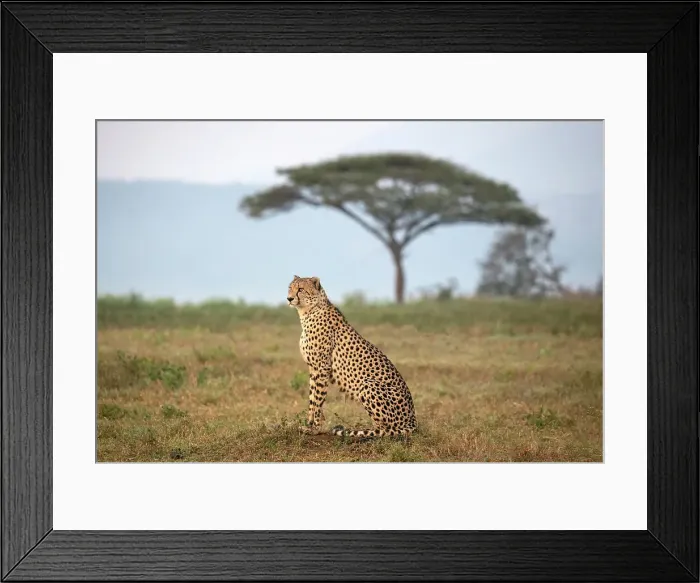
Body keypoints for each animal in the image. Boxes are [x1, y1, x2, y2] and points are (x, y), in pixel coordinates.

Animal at [287, 275, 417, 439]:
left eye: (301, 289)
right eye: (290, 288)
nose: (289, 298)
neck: (309, 311)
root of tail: (413, 420)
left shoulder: (322, 367)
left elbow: (318, 399)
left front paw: (315, 428)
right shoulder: (313, 368)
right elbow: (312, 398)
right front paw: (309, 423)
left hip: (368, 384)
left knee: (387, 429)